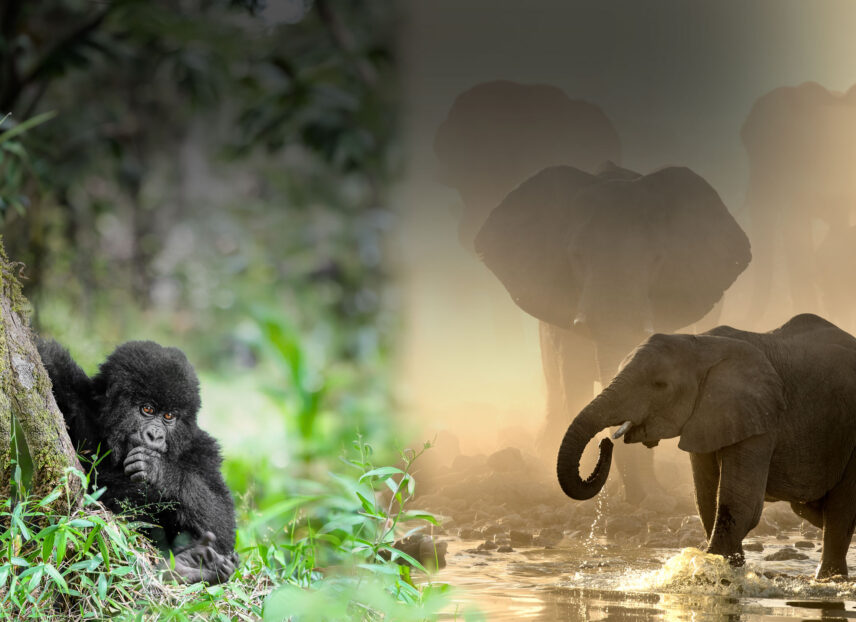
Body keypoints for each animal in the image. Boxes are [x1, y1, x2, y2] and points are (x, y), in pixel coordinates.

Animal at [556, 313, 856, 580]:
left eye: (660, 384)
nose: (605, 442)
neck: (702, 343)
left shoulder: (762, 418)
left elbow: (740, 504)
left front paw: (712, 574)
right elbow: (706, 499)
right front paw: (728, 570)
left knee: (839, 514)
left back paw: (829, 579)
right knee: (815, 511)